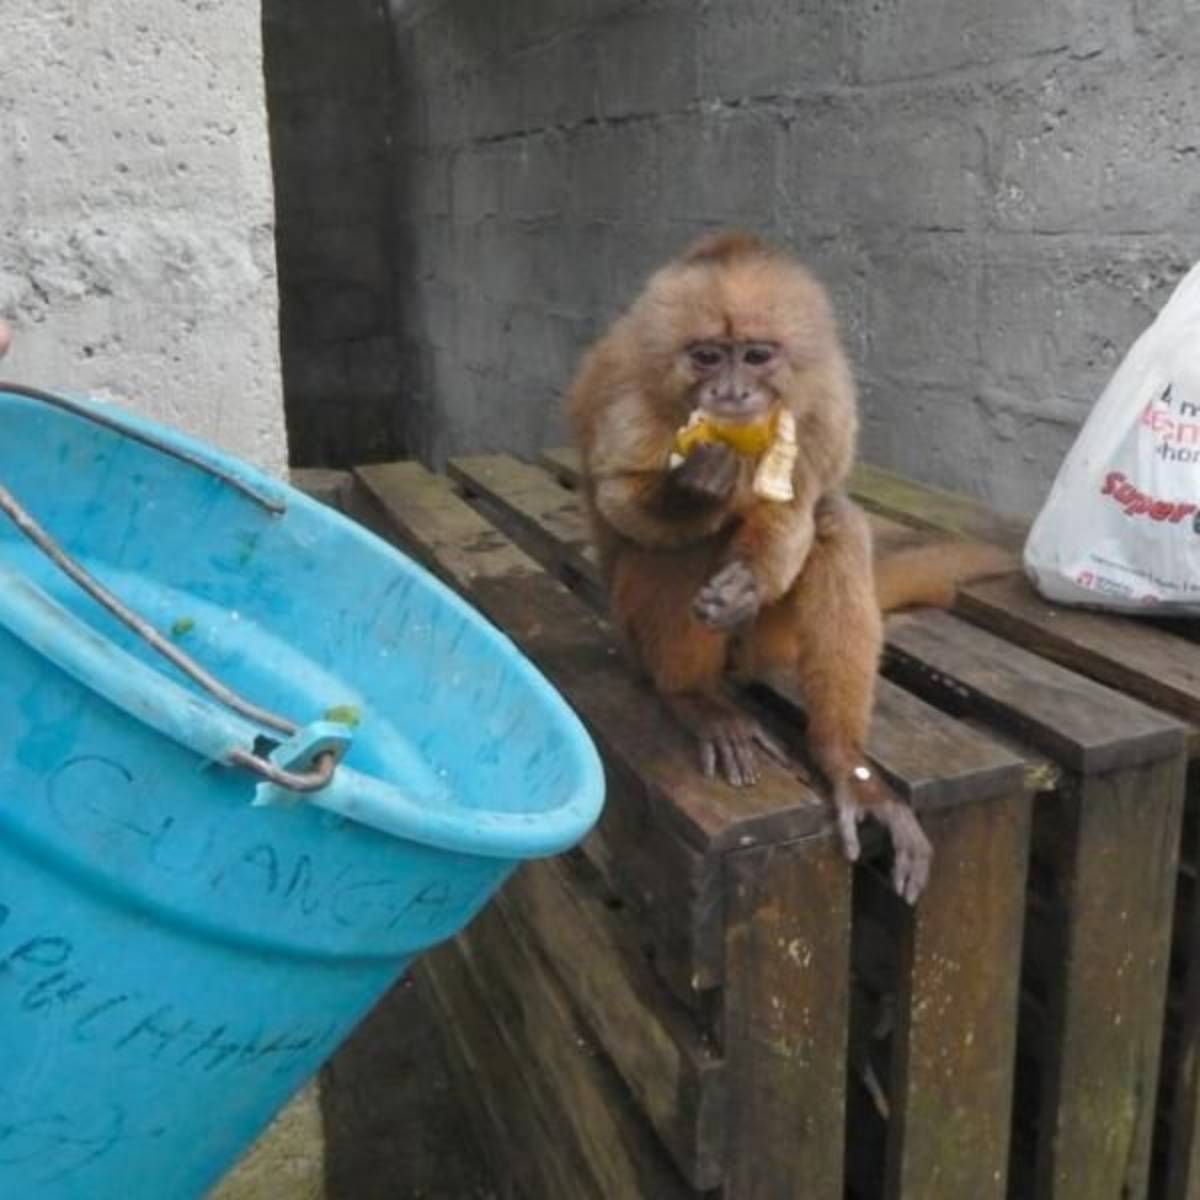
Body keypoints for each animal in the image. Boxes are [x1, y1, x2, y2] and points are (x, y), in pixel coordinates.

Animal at [567, 230, 1012, 903]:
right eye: (707, 357)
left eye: (755, 356)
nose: (729, 394)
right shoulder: (632, 393)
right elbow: (621, 497)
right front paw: (694, 487)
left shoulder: (824, 401)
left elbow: (797, 508)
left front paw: (748, 578)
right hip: (634, 633)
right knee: (683, 548)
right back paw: (694, 698)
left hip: (769, 643)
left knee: (835, 523)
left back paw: (843, 761)